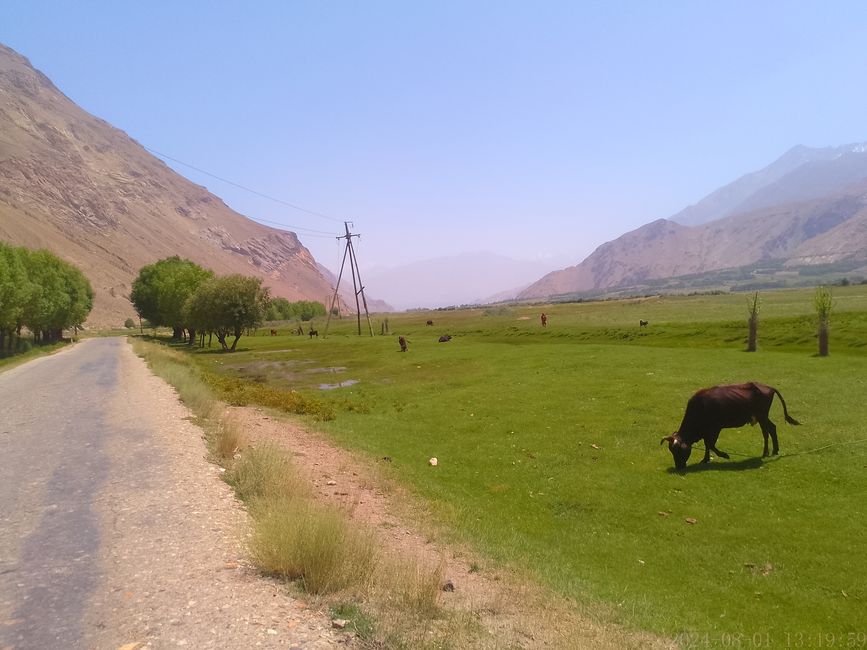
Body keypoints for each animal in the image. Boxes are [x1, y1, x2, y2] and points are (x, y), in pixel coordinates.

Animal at [660, 380, 804, 466]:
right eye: (671, 450)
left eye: (678, 450)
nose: (679, 467)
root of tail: (768, 387)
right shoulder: (707, 431)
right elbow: (707, 444)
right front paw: (705, 459)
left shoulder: (715, 428)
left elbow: (710, 444)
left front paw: (724, 455)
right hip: (763, 417)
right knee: (772, 428)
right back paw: (775, 450)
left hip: (762, 416)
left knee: (766, 432)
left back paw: (765, 453)